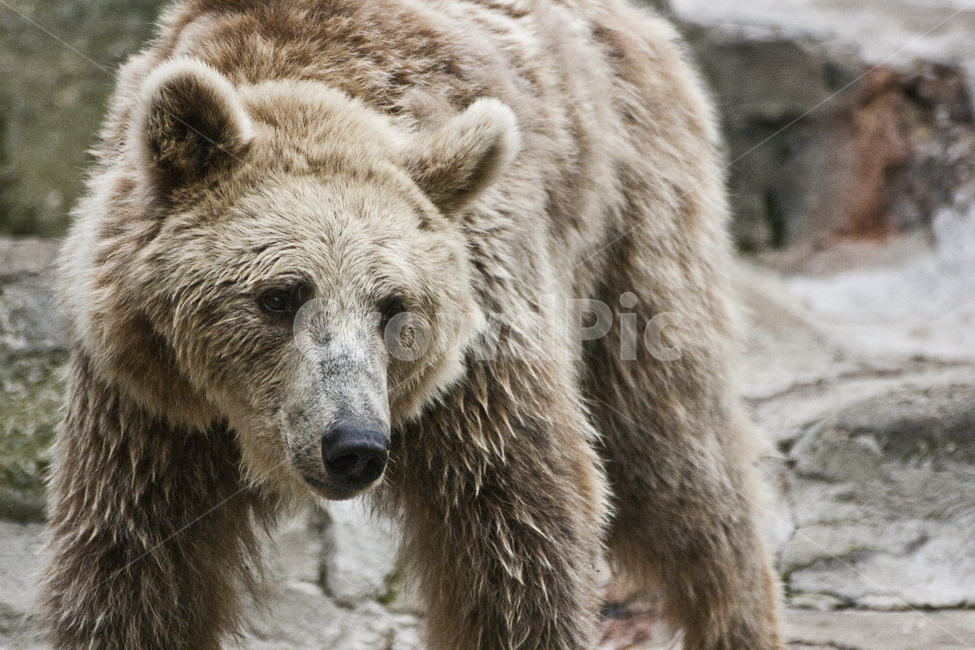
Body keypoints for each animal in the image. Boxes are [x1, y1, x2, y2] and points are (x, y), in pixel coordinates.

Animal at [37, 0, 784, 648]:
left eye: (393, 307)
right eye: (280, 295)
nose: (354, 444)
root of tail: (646, 23)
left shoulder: (482, 358)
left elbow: (516, 537)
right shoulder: (149, 403)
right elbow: (132, 565)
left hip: (633, 227)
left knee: (676, 458)